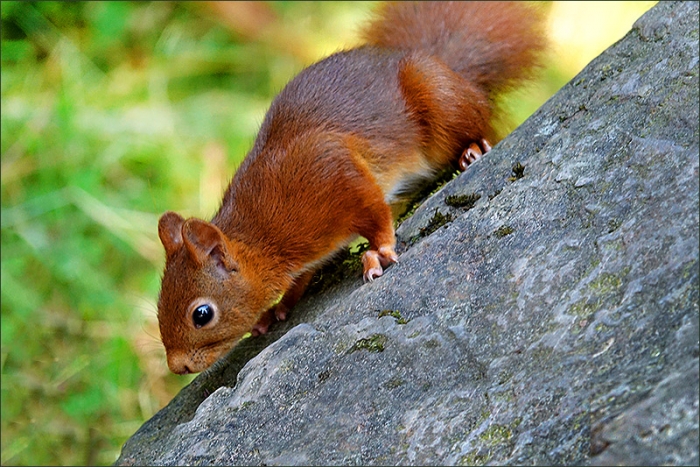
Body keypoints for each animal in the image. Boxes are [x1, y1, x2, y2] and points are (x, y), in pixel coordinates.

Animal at [156, 1, 547, 374]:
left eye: (202, 314)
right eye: (160, 303)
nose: (177, 367)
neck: (261, 236)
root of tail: (440, 64)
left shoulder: (330, 167)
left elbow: (374, 211)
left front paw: (379, 250)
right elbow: (301, 280)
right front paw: (277, 309)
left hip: (438, 95)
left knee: (478, 122)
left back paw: (473, 149)